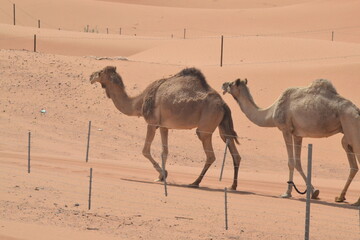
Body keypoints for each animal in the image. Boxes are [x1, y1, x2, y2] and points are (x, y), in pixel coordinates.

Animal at [90, 65, 242, 189]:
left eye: (100, 72)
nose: (91, 76)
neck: (139, 102)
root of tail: (223, 104)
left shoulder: (151, 123)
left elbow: (145, 151)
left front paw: (163, 174)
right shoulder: (164, 126)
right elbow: (165, 152)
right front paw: (162, 176)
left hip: (205, 126)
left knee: (210, 155)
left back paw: (195, 182)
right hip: (223, 126)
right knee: (234, 151)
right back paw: (233, 186)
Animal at [222, 78, 360, 205]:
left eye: (231, 84)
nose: (223, 84)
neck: (270, 113)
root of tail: (357, 111)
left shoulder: (286, 129)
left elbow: (291, 162)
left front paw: (287, 193)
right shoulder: (298, 134)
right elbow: (298, 163)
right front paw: (314, 192)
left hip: (352, 127)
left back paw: (356, 201)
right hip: (347, 136)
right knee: (352, 163)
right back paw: (340, 197)